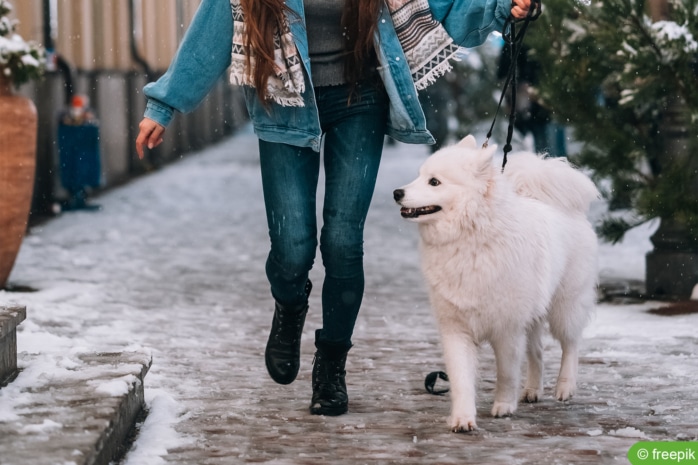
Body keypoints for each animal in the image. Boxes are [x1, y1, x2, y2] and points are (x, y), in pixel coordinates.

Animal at [392, 134, 600, 432]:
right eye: (419, 176)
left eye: (434, 182)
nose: (397, 193)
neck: (471, 238)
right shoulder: (456, 328)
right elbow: (461, 379)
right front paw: (462, 418)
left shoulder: (507, 328)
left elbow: (506, 372)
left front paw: (503, 406)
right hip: (534, 314)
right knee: (537, 352)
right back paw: (533, 390)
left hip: (565, 305)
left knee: (570, 345)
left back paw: (565, 387)